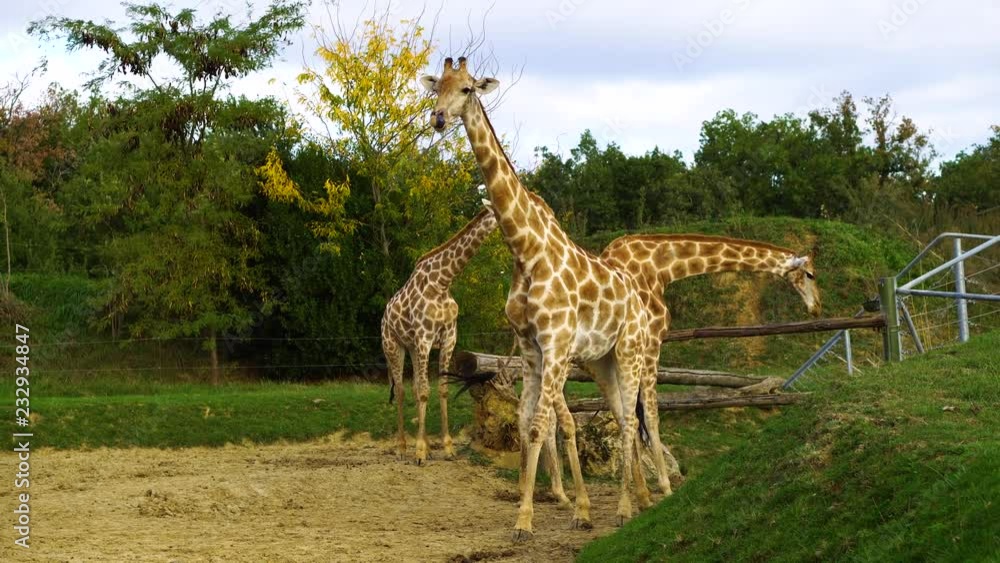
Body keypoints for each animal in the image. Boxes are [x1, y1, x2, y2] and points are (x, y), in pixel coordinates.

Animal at [381, 203, 498, 465]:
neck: (442, 282)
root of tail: (383, 319)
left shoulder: (448, 338)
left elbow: (441, 389)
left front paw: (446, 448)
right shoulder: (425, 338)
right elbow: (426, 391)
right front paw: (419, 454)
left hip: (412, 348)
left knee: (414, 388)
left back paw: (424, 445)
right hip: (394, 346)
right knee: (402, 391)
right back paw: (402, 448)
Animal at [421, 57, 652, 540]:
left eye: (468, 89)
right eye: (438, 87)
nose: (439, 119)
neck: (526, 251)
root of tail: (640, 304)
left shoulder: (556, 345)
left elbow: (542, 425)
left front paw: (527, 521)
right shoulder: (530, 348)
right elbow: (528, 422)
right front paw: (539, 510)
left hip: (629, 352)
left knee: (628, 424)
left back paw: (624, 509)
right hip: (602, 361)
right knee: (624, 416)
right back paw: (640, 501)